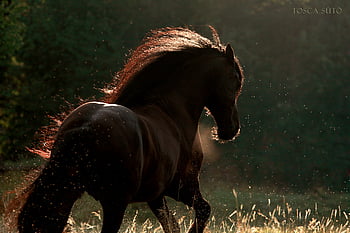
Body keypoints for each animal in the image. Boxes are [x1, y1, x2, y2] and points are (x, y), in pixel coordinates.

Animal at [9, 26, 243, 232]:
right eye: (235, 79)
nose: (231, 129)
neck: (172, 110)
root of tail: (85, 127)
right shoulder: (182, 186)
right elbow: (204, 210)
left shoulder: (156, 196)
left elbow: (172, 225)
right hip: (114, 202)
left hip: (67, 190)